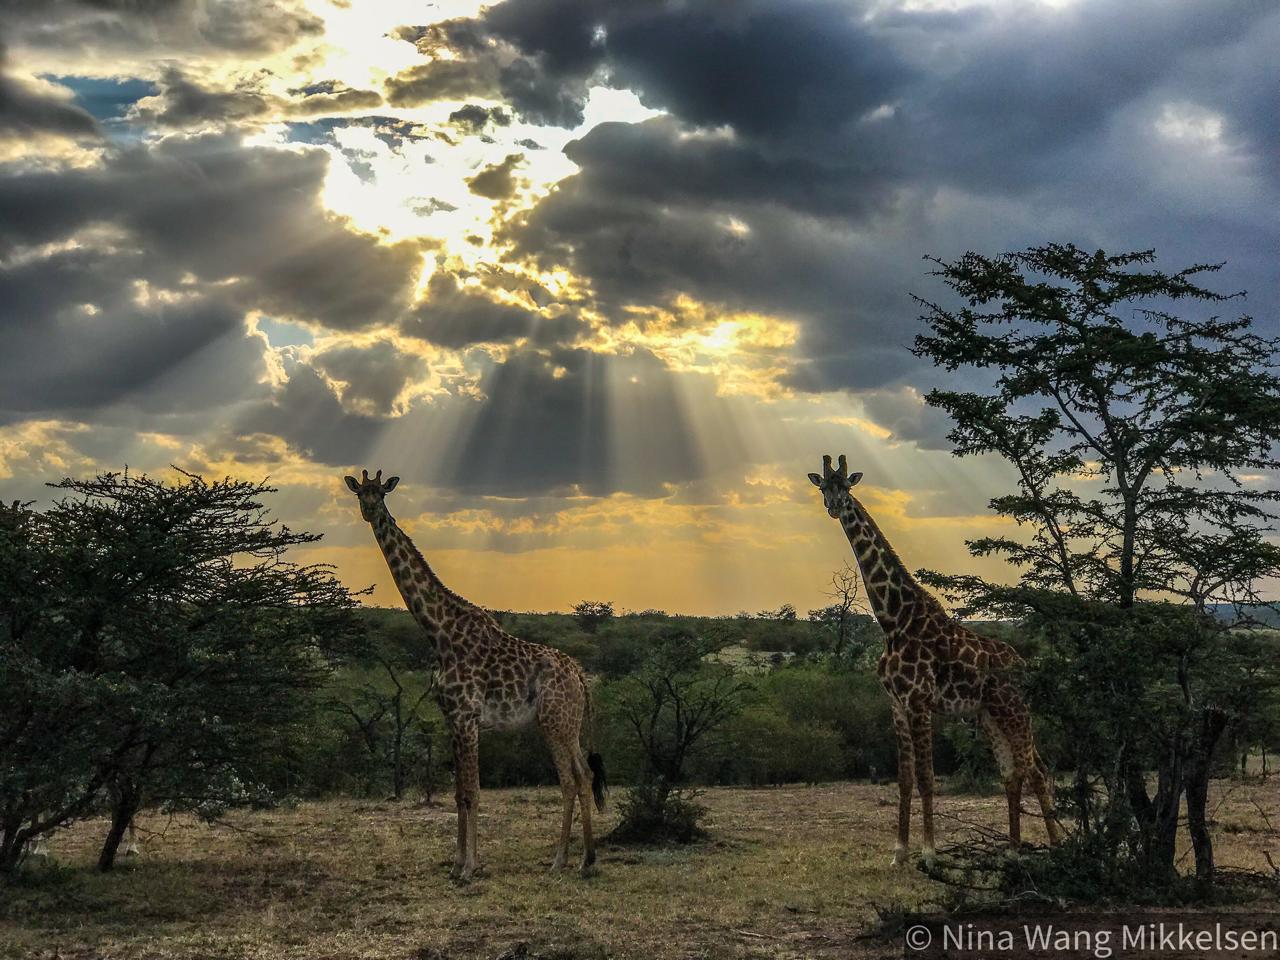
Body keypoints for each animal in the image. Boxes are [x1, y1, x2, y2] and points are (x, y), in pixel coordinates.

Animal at [344, 469, 606, 879]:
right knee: (582, 776)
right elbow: (458, 792)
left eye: (381, 493)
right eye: (360, 493)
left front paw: (469, 867)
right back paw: (578, 859)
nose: (370, 511)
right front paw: (456, 864)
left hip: (556, 723)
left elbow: (473, 790)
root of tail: (579, 676)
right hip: (566, 723)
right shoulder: (451, 717)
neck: (439, 632)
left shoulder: (467, 716)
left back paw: (570, 860)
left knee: (572, 778)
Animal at [808, 455, 1062, 866]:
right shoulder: (896, 704)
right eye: (823, 488)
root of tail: (1025, 666)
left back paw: (1056, 847)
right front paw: (899, 853)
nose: (834, 506)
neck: (894, 619)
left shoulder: (919, 701)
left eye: (846, 486)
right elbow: (905, 780)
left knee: (1036, 770)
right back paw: (1012, 850)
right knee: (1012, 773)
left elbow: (927, 779)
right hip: (988, 716)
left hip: (1015, 712)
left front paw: (928, 853)